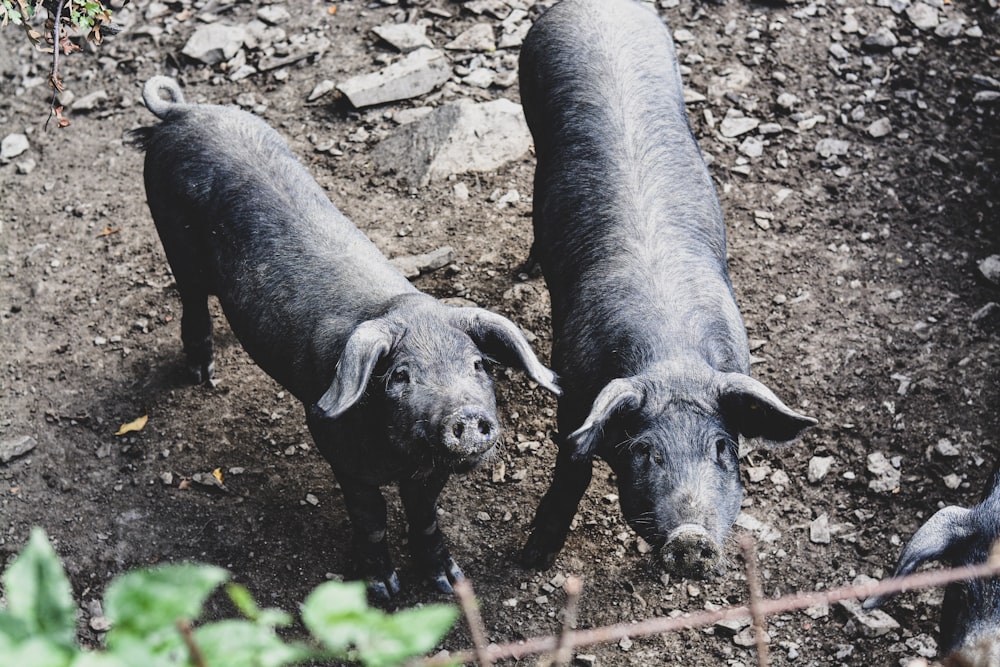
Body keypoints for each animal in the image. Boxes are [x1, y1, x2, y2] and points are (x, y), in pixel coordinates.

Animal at [131, 77, 564, 600]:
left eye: (478, 365)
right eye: (399, 376)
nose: (464, 414)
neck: (402, 457)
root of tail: (183, 111)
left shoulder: (432, 471)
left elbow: (425, 517)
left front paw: (450, 582)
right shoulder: (335, 445)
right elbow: (371, 520)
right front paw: (383, 591)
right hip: (169, 229)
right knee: (191, 297)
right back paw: (201, 375)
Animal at [520, 0, 816, 580]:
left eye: (723, 447)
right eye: (645, 451)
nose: (691, 537)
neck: (671, 353)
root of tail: (594, 7)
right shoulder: (572, 388)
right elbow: (573, 467)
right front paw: (529, 559)